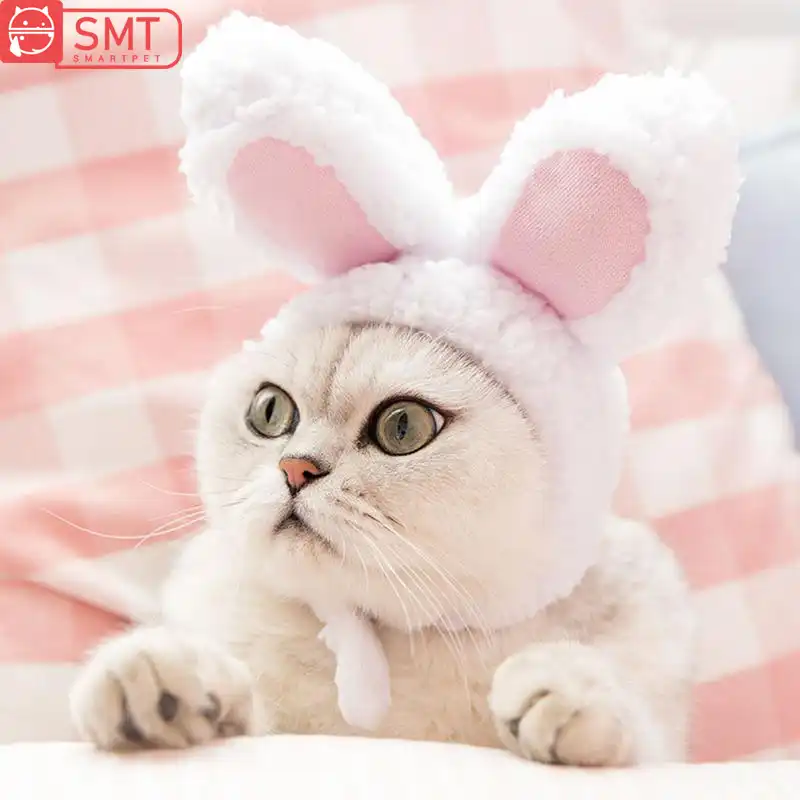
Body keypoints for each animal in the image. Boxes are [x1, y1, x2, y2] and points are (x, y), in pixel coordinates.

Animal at [70, 321, 694, 766]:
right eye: (270, 411)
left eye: (403, 426)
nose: (295, 468)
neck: (392, 639)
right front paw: (165, 677)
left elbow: (636, 730)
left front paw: (568, 690)